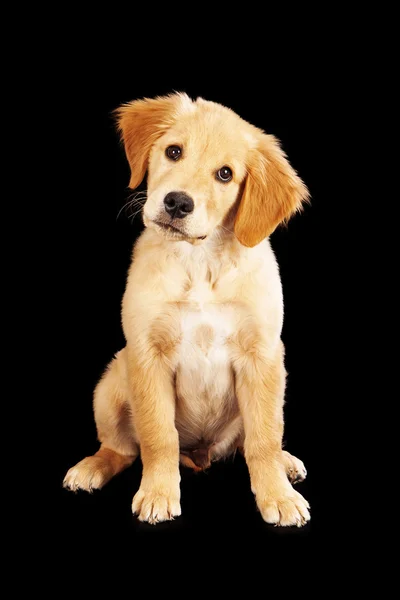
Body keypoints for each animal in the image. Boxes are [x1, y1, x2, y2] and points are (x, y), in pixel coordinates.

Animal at [64, 91, 310, 528]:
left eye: (225, 175)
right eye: (174, 151)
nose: (177, 203)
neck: (200, 260)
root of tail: (201, 453)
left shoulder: (262, 355)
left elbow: (264, 438)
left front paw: (278, 496)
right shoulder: (147, 354)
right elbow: (158, 436)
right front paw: (159, 493)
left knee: (253, 440)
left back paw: (286, 463)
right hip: (110, 385)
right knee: (122, 449)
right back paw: (92, 466)